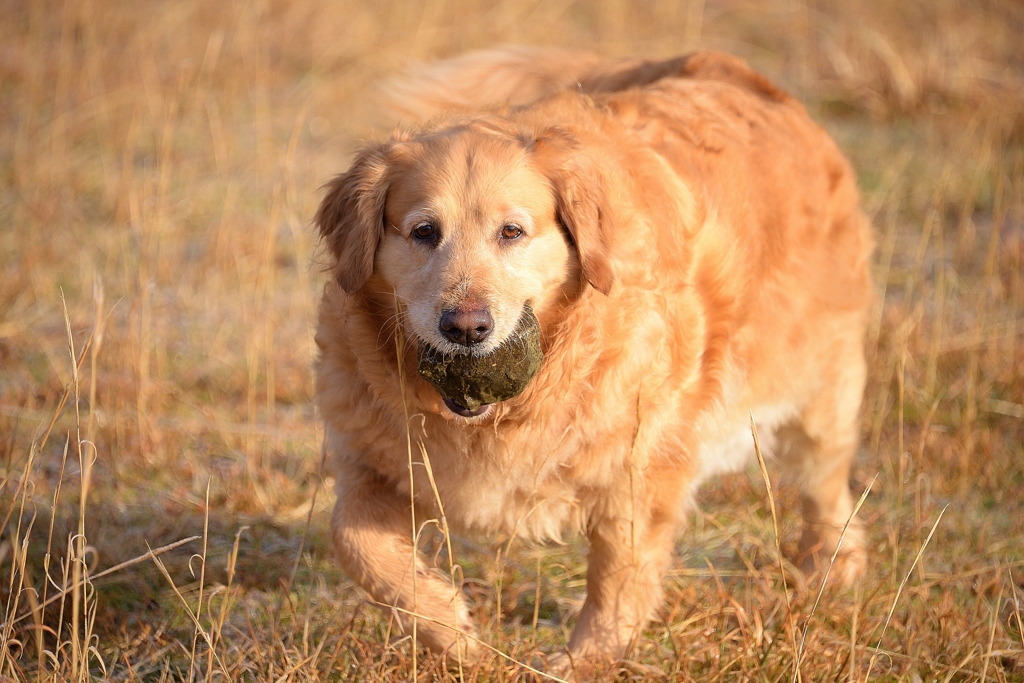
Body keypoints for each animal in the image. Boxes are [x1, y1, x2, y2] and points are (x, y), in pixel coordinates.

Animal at [313, 49, 872, 679]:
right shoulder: (370, 455)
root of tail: (732, 67)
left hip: (821, 393)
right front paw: (449, 630)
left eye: (512, 232)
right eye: (423, 232)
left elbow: (617, 580)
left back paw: (831, 566)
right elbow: (354, 541)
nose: (466, 327)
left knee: (827, 487)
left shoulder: (640, 466)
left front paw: (583, 661)